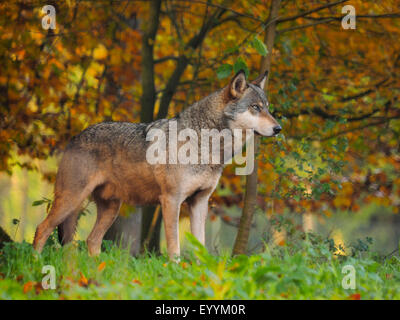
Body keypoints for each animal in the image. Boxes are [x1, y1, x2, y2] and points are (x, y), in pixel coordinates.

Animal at [33, 70, 282, 260]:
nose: (278, 128)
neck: (206, 144)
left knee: (91, 240)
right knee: (42, 229)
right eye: (255, 107)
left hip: (110, 208)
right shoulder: (171, 200)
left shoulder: (200, 202)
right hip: (72, 200)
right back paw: (35, 264)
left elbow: (200, 246)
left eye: (268, 108)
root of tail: (74, 137)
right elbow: (174, 248)